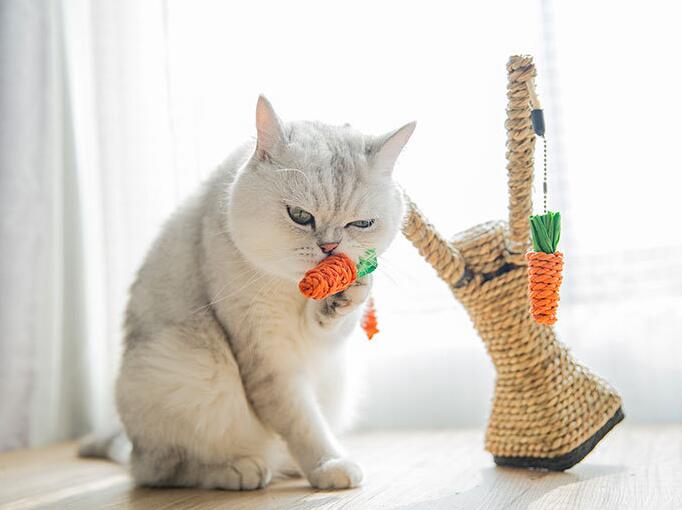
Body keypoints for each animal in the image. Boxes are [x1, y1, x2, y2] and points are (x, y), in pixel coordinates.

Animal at [83, 95, 418, 490]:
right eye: (299, 215)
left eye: (361, 224)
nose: (330, 249)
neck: (293, 290)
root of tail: (132, 447)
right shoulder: (266, 355)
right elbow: (301, 421)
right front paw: (330, 465)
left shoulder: (322, 345)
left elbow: (335, 322)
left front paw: (343, 297)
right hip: (180, 366)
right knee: (163, 472)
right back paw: (240, 470)